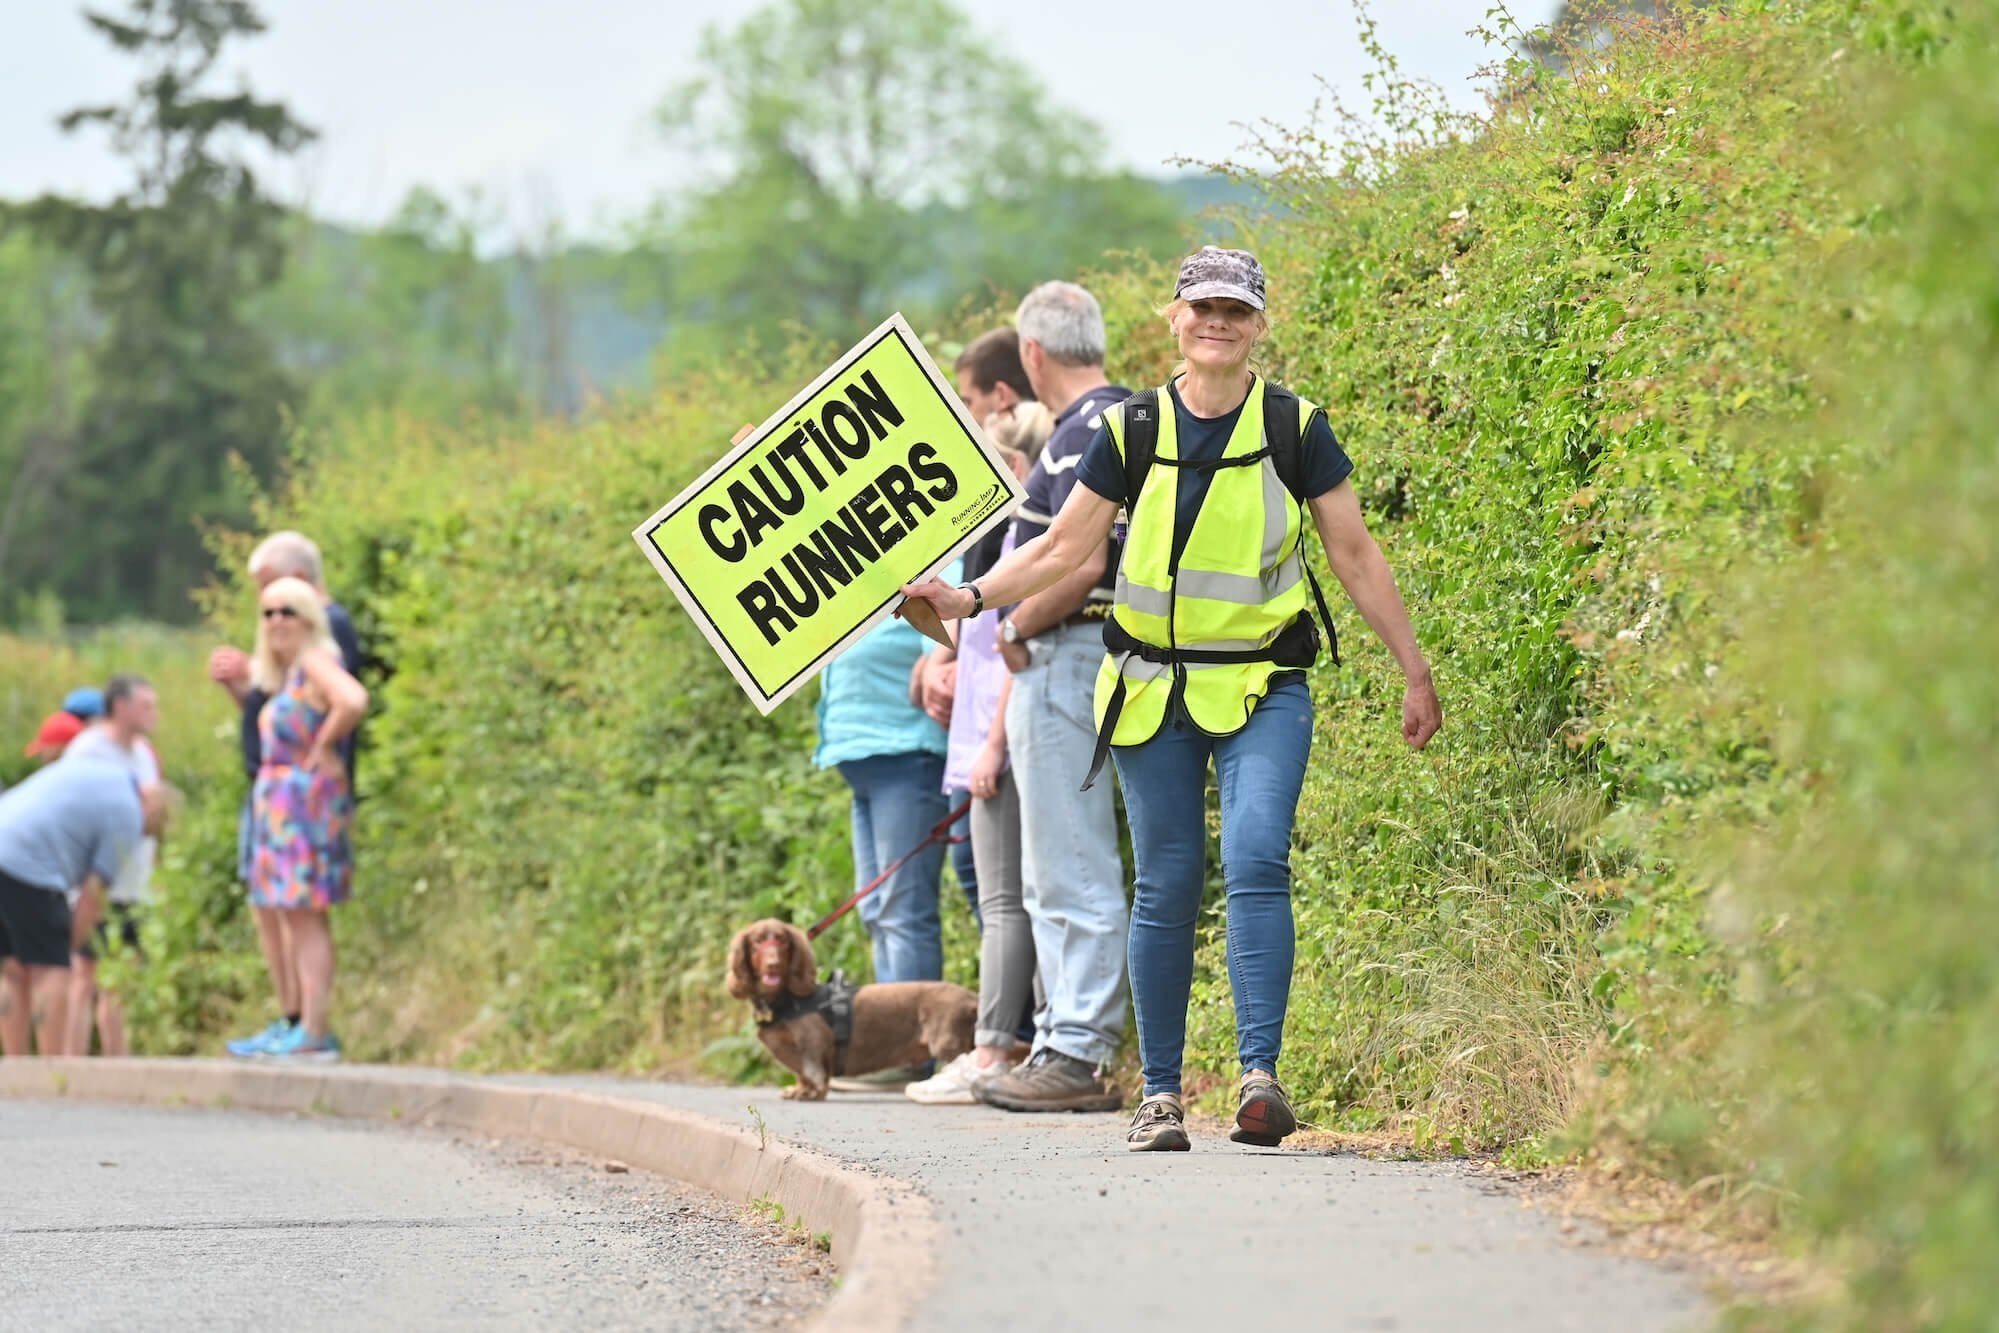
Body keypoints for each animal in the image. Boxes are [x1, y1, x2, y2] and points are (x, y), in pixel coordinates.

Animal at [727, 923, 975, 1103]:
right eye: (757, 941)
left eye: (783, 940)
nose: (773, 964)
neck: (784, 1001)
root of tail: (973, 997)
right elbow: (801, 1073)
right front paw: (799, 1089)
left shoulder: (813, 1041)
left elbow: (813, 1070)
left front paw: (814, 1093)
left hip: (948, 1042)